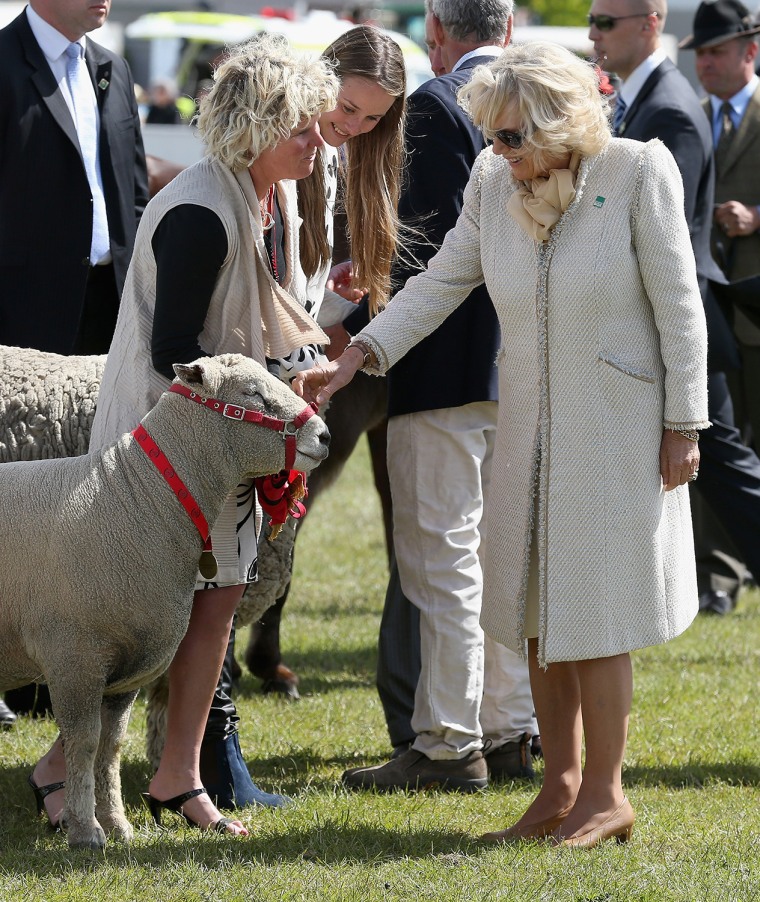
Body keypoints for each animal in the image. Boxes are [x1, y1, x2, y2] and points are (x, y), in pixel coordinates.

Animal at [0, 354, 330, 848]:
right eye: (252, 393)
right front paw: (85, 831)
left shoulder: (126, 670)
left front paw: (118, 825)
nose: (324, 436)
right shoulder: (75, 658)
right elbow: (84, 744)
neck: (137, 497)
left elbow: (111, 746)